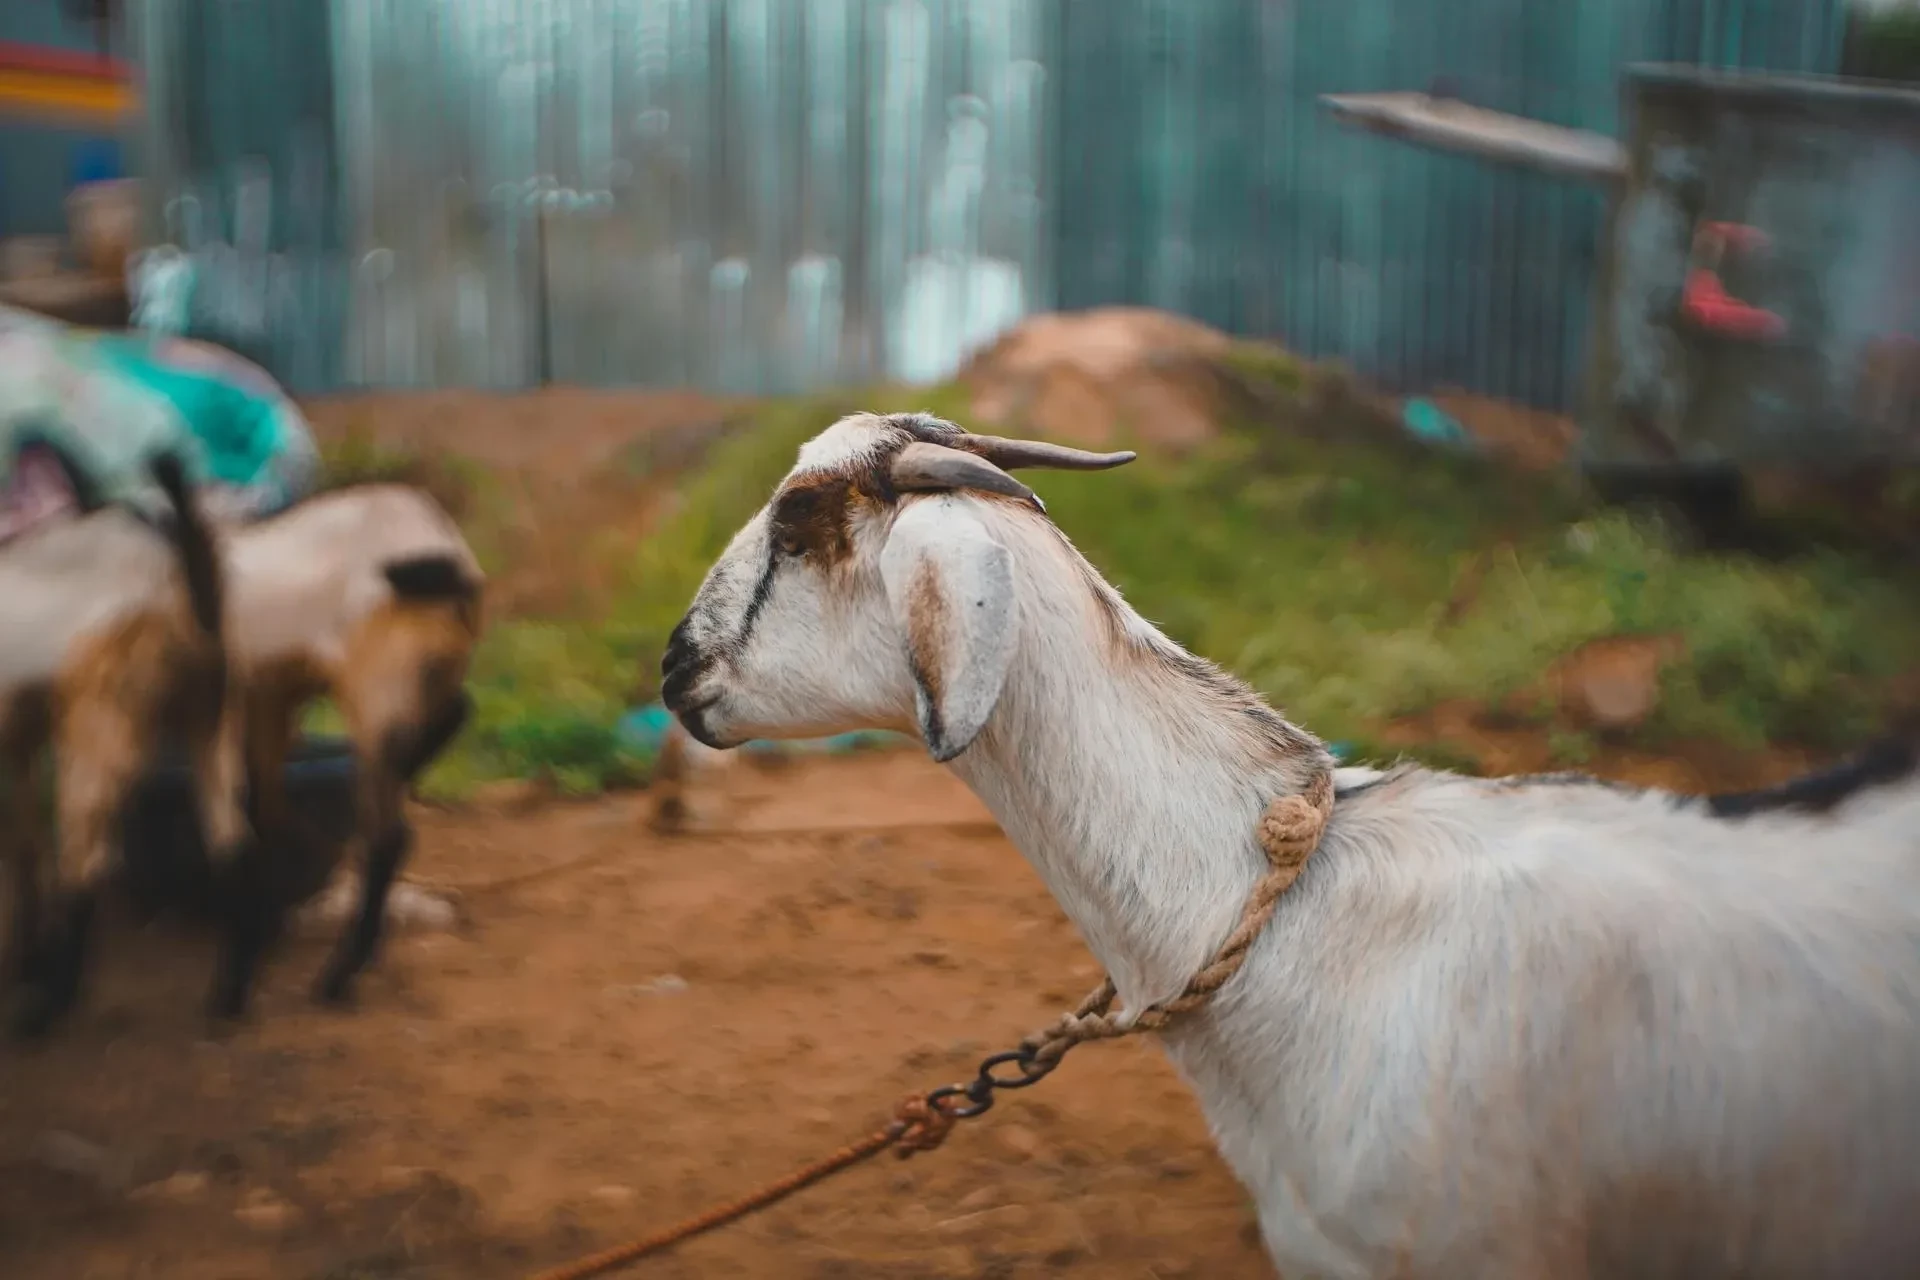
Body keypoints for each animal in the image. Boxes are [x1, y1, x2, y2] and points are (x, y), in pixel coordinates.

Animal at [0, 454, 255, 1036]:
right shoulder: (19, 738)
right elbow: (24, 845)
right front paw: (27, 958)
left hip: (100, 727)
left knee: (87, 866)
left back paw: (48, 1007)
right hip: (212, 718)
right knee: (231, 843)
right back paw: (226, 997)